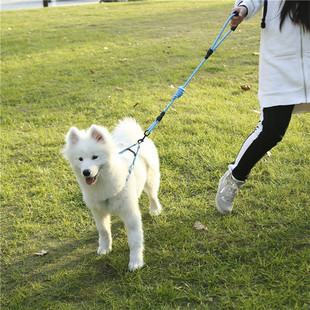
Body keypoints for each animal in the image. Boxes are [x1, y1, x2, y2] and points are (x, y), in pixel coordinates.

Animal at [61, 118, 161, 272]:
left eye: (95, 157)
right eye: (80, 159)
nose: (86, 172)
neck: (103, 184)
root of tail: (136, 139)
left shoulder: (130, 214)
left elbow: (135, 241)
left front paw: (136, 262)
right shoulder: (98, 212)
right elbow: (104, 231)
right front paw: (104, 248)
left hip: (150, 179)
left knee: (152, 195)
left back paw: (155, 209)